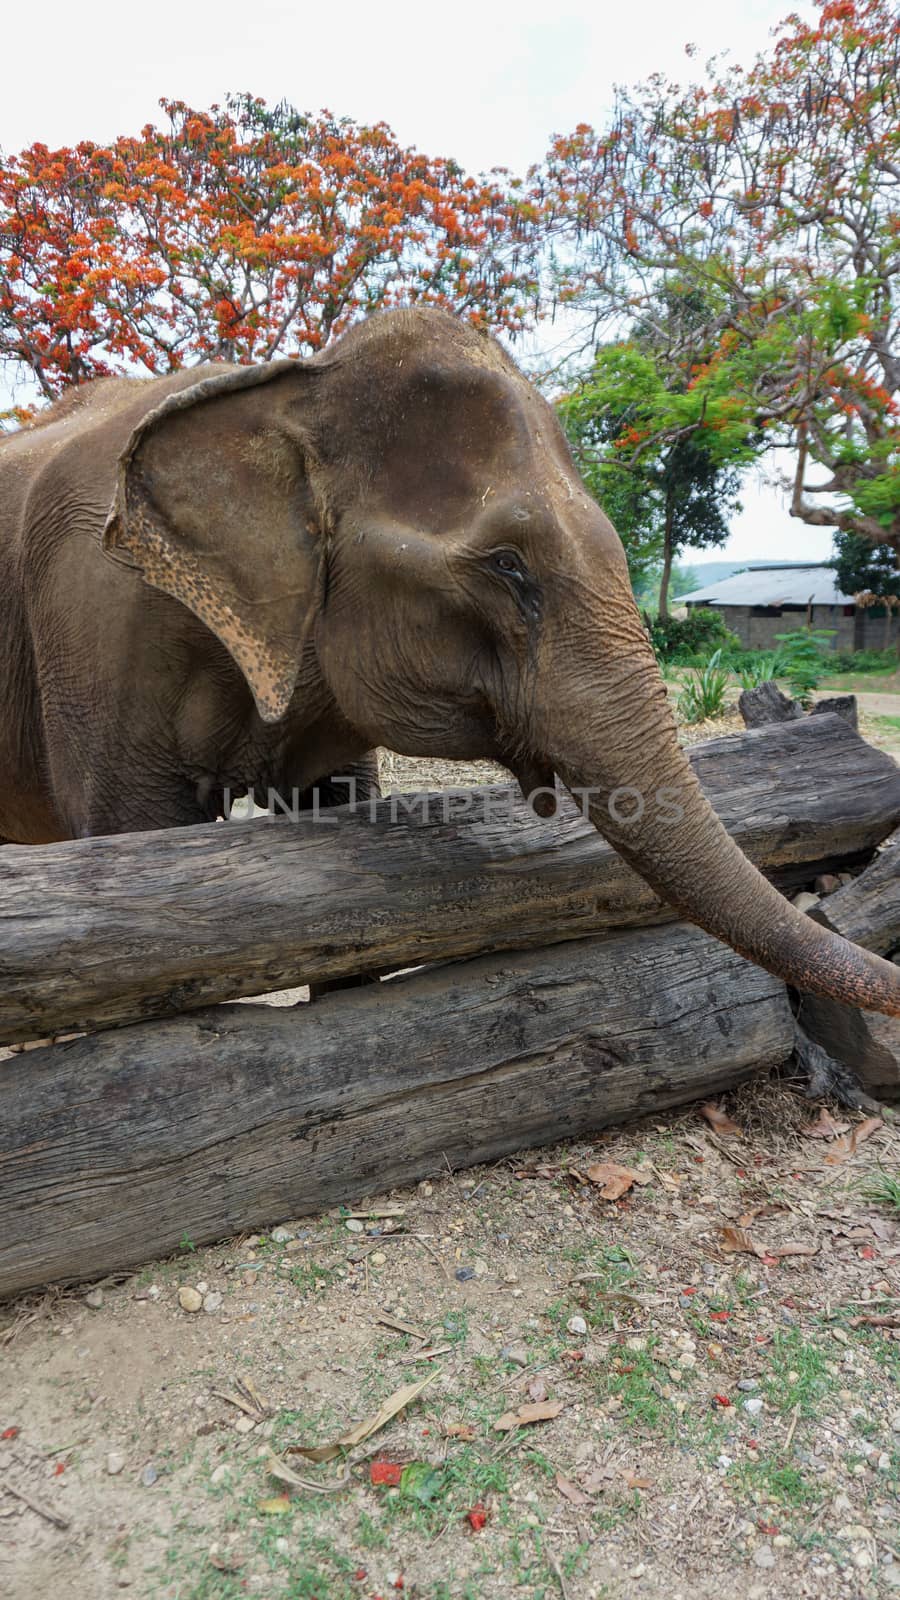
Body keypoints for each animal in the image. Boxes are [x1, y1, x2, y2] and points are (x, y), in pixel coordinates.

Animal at [0, 304, 890, 1017]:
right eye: (508, 566)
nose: (826, 898)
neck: (290, 385)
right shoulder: (100, 626)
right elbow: (130, 840)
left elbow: (332, 813)